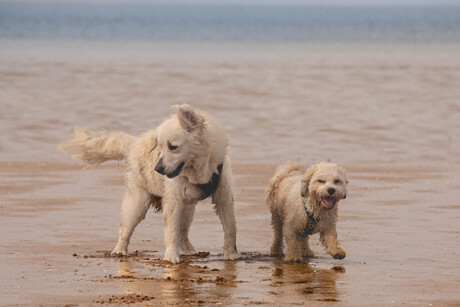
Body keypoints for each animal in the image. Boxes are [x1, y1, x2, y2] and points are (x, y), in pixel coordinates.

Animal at [59, 104, 239, 264]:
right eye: (159, 147)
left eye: (172, 146)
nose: (157, 169)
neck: (198, 169)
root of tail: (133, 143)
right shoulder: (173, 201)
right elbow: (171, 231)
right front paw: (171, 257)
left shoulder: (223, 196)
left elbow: (230, 227)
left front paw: (231, 255)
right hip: (137, 202)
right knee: (125, 228)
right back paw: (119, 251)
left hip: (188, 206)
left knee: (183, 232)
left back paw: (191, 251)